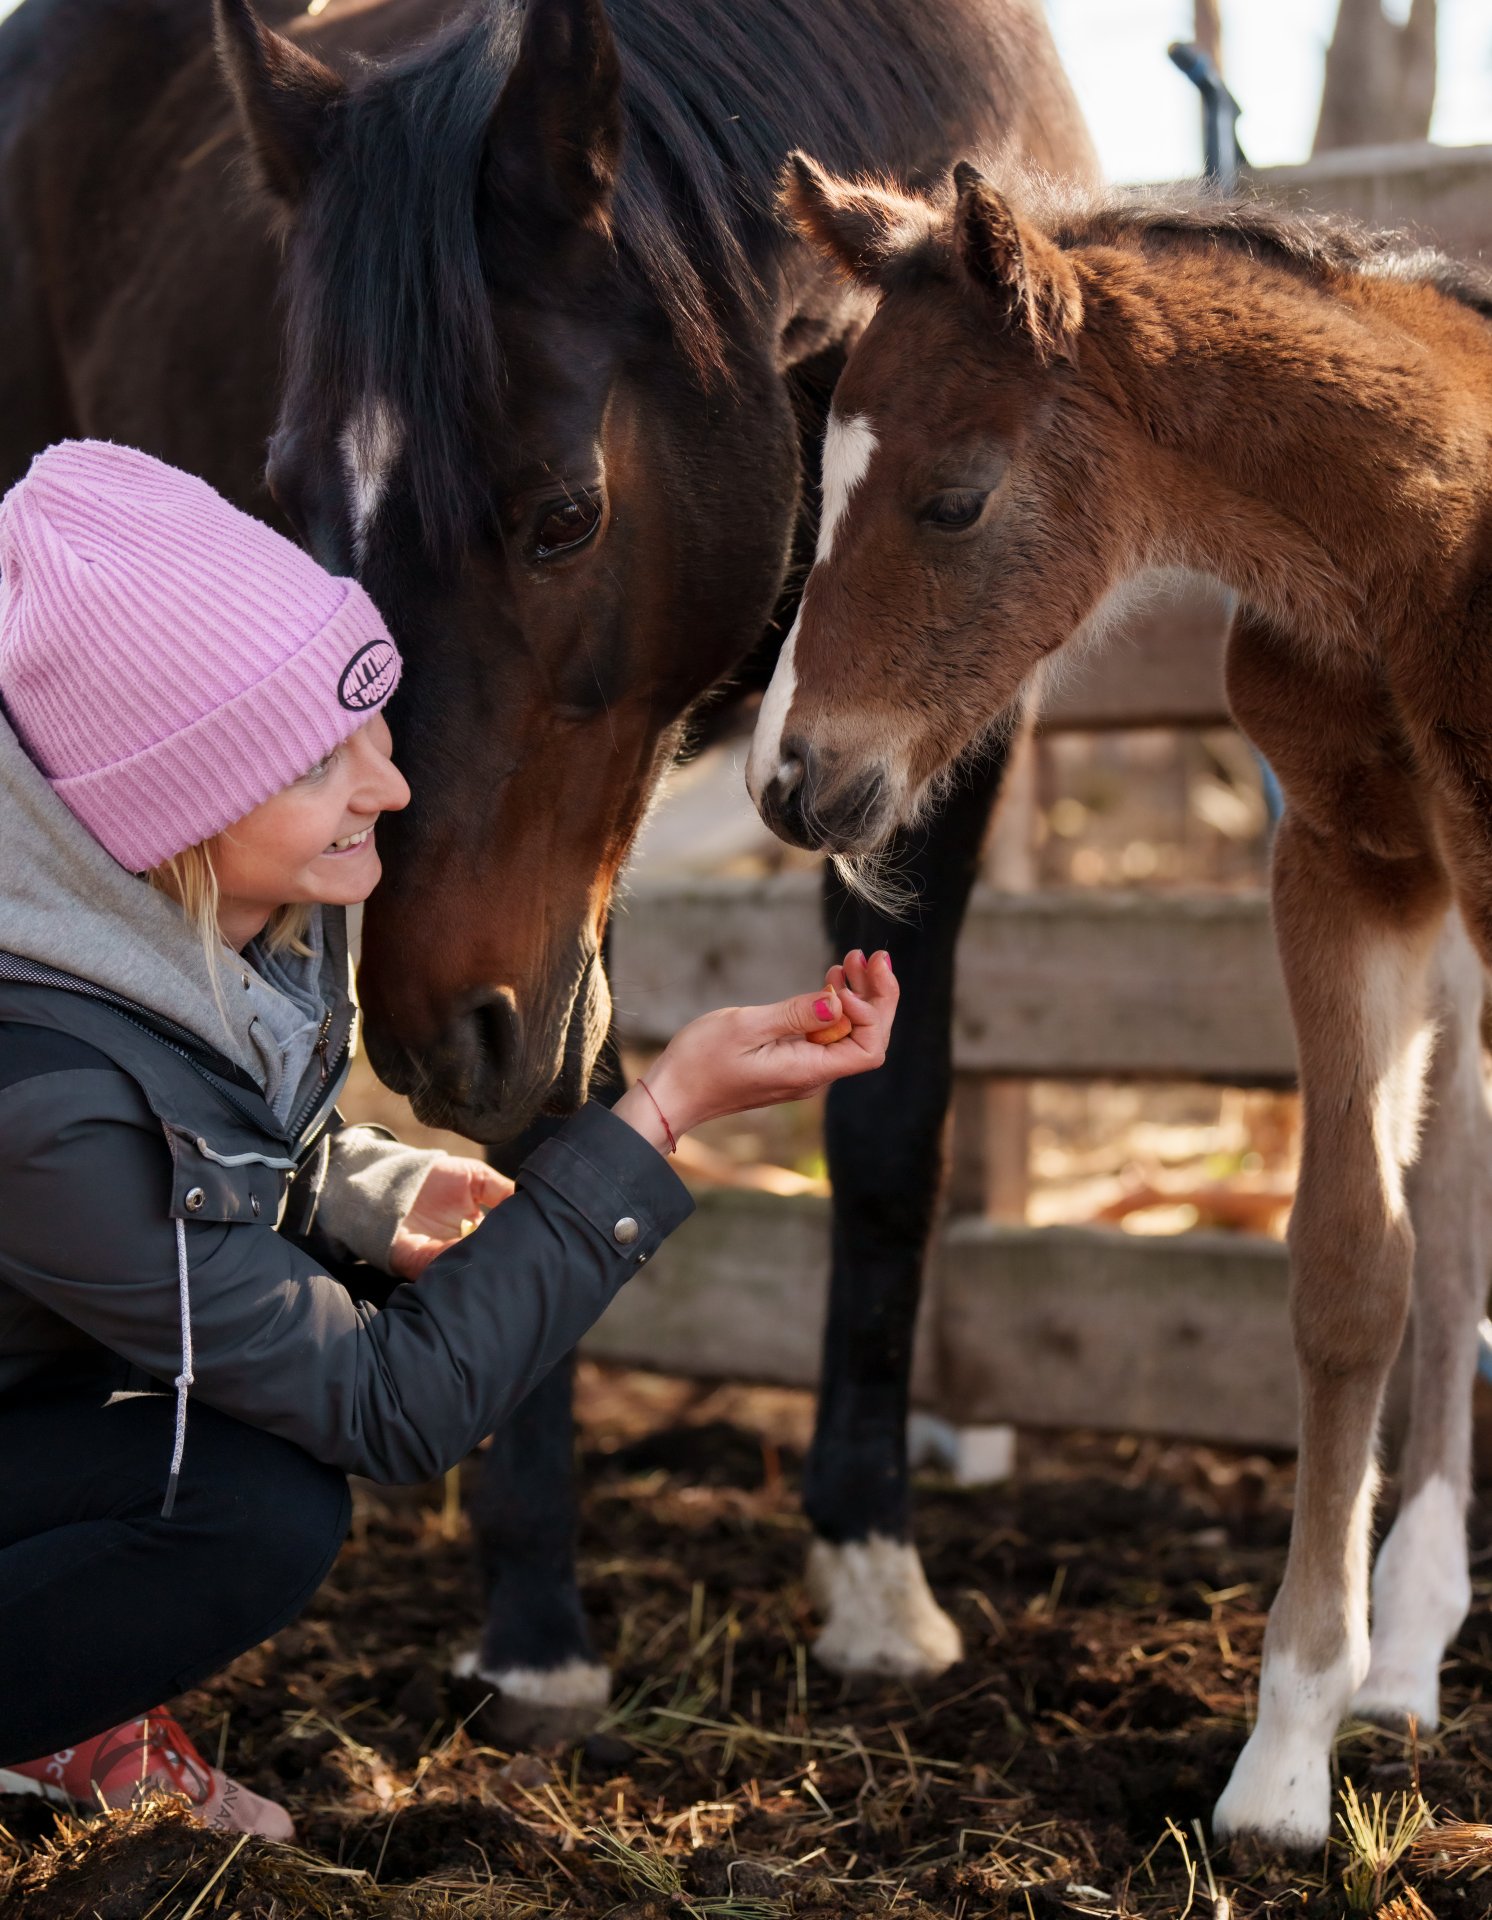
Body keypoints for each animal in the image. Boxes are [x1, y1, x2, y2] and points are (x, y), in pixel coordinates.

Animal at [745, 161, 1492, 1843]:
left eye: (955, 499)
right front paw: (1288, 1751)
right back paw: (1412, 1655)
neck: (1434, 554)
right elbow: (1353, 1268)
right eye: (819, 483)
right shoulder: (1350, 870)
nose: (789, 780)